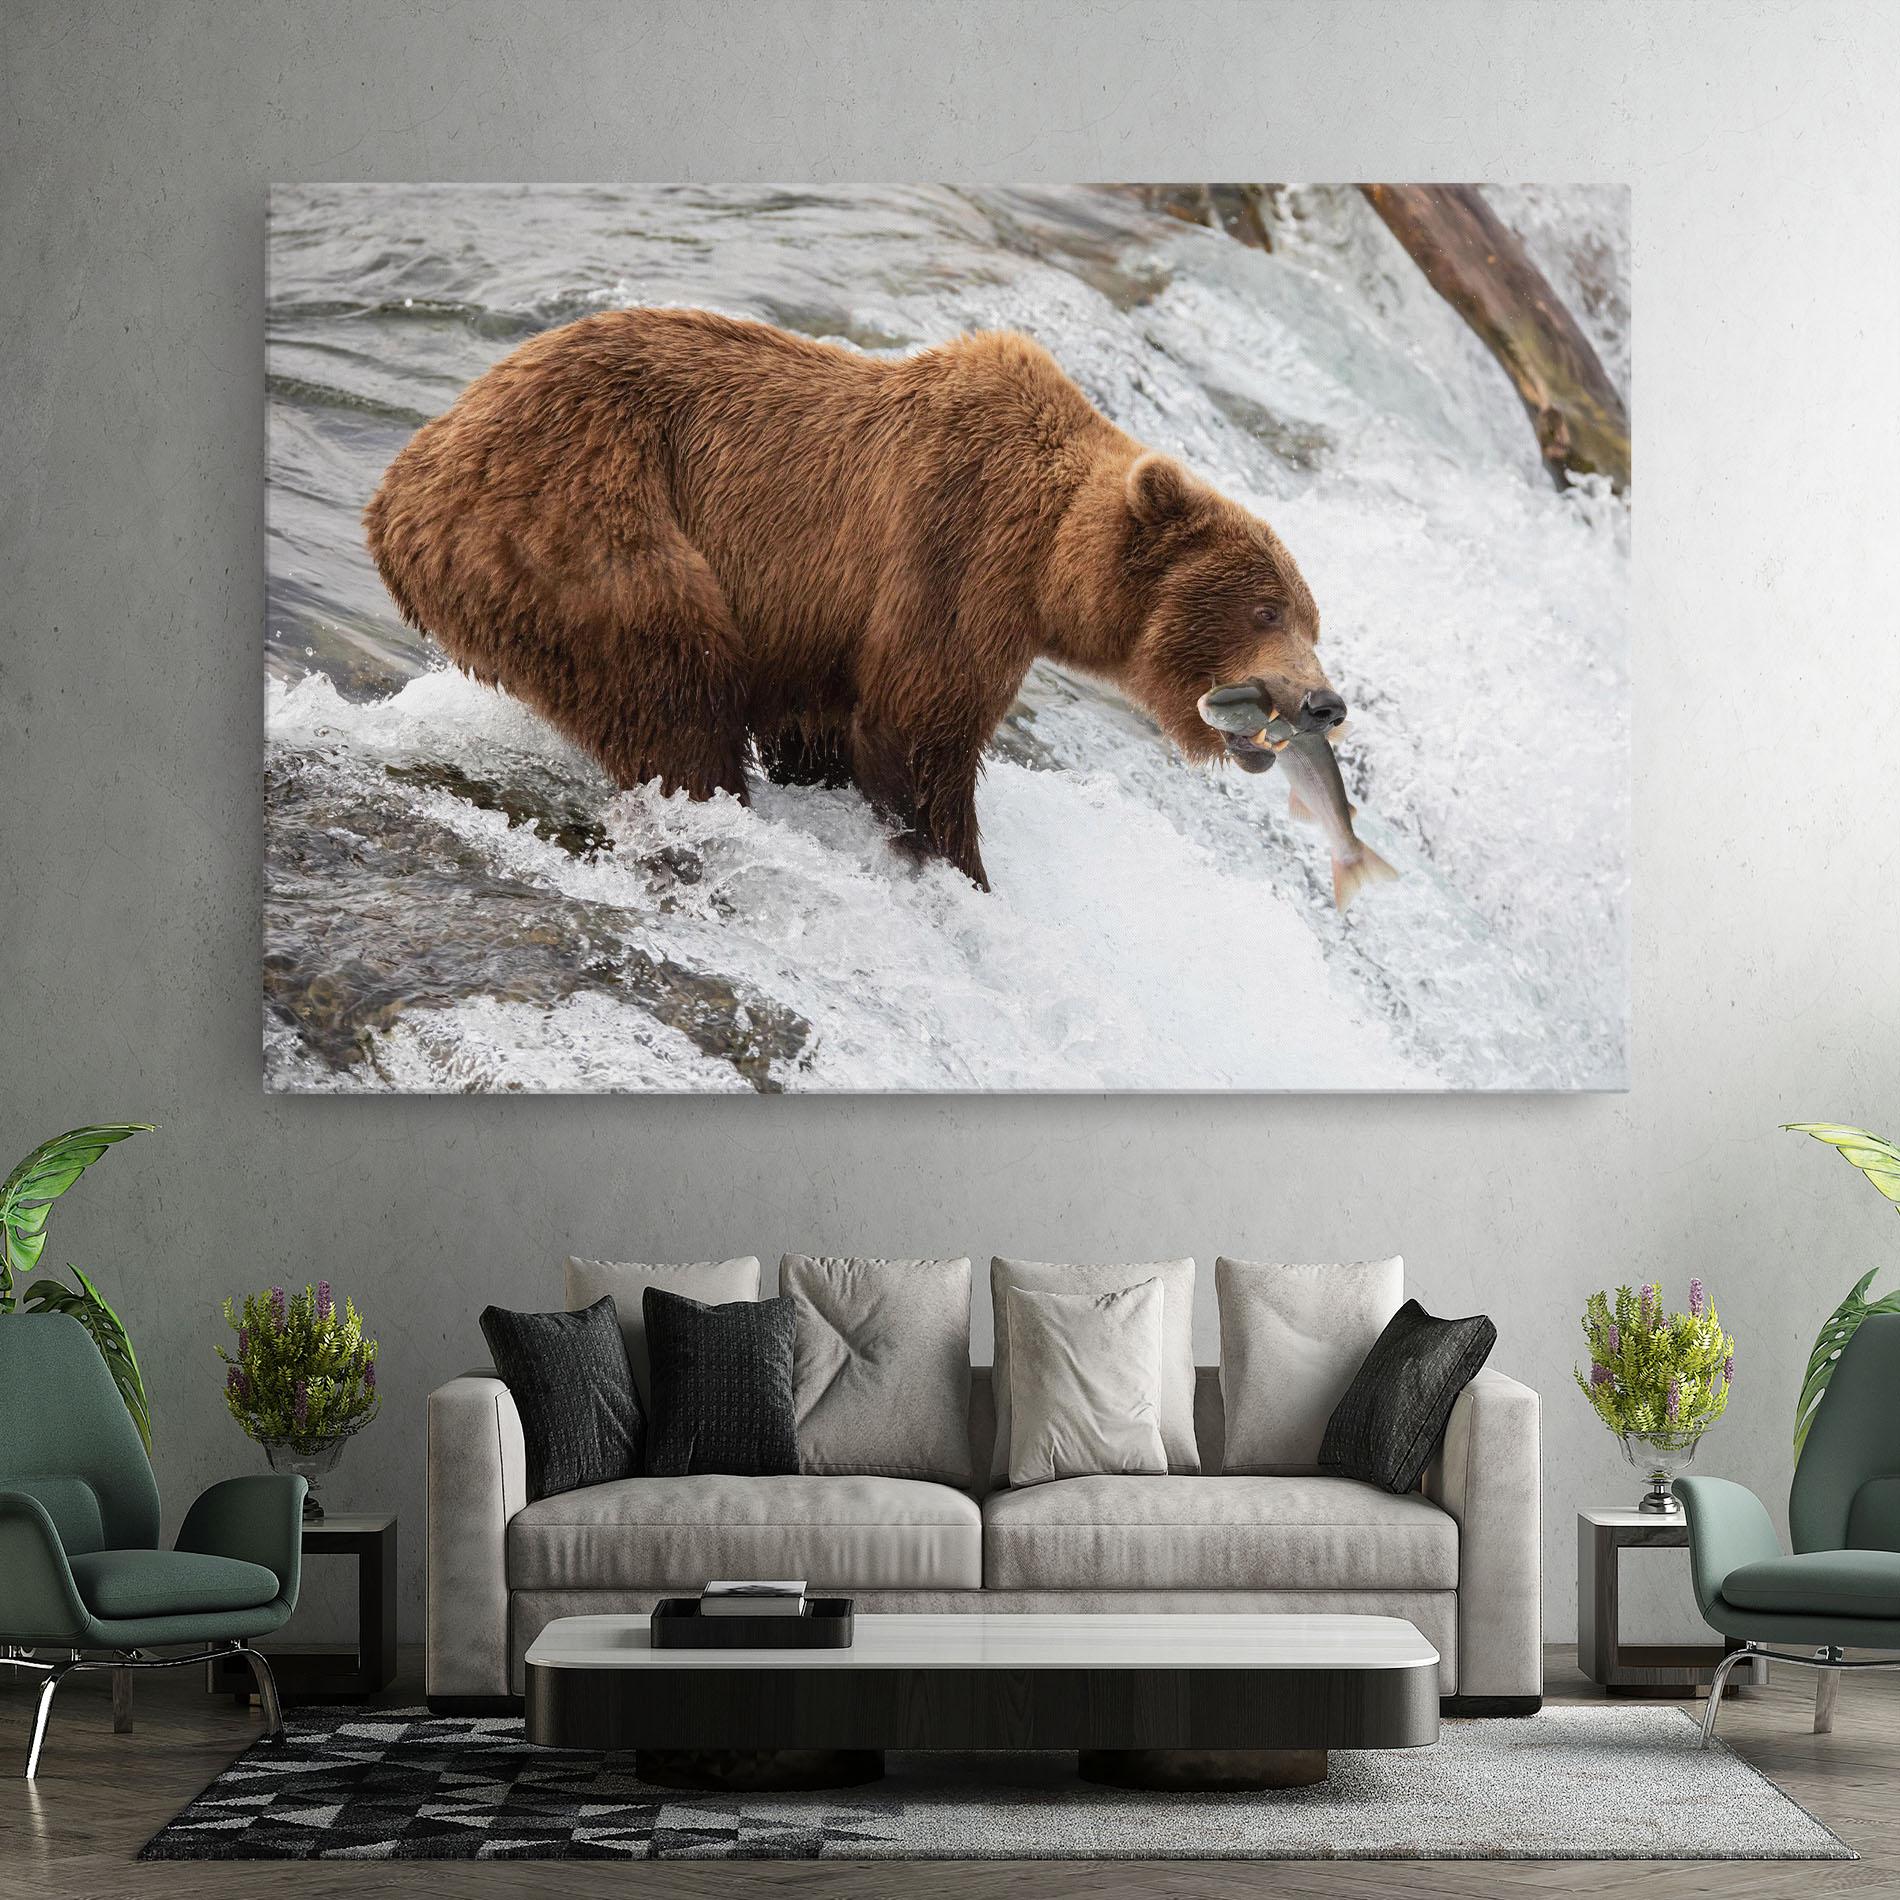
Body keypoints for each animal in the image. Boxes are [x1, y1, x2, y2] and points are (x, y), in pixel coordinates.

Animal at [364, 307, 1342, 891]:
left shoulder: (821, 631)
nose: (1324, 703)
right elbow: (917, 733)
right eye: (1267, 610)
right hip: (582, 526)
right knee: (672, 690)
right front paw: (960, 871)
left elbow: (827, 730)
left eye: (1312, 617)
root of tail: (400, 486)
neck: (1048, 564)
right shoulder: (954, 554)